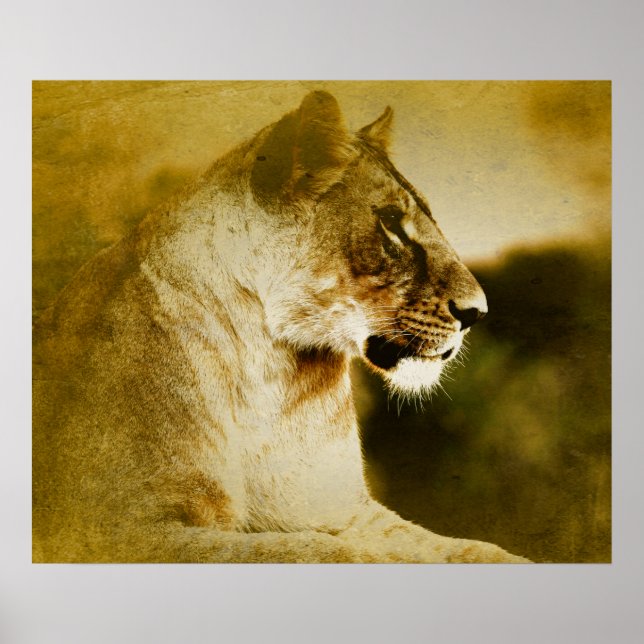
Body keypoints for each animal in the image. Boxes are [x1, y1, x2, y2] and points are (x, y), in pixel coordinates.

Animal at [33, 90, 528, 563]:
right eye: (390, 221)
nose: (477, 313)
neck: (271, 370)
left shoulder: (343, 510)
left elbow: (468, 549)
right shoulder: (116, 531)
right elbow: (325, 554)